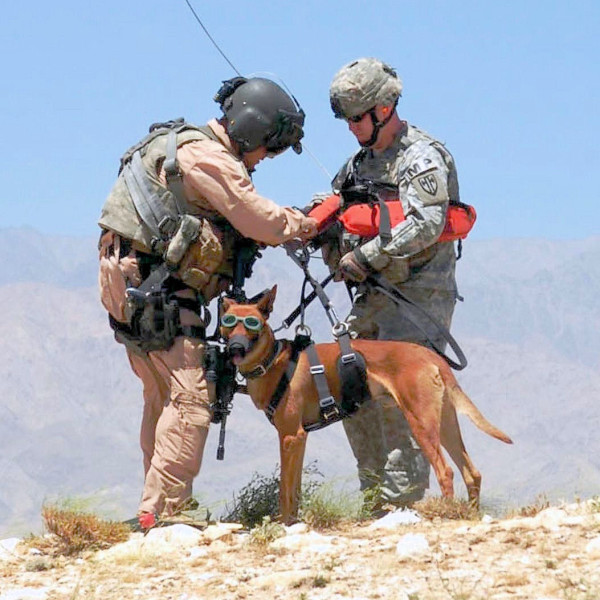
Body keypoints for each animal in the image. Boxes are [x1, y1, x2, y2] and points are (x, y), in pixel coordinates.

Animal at [220, 284, 510, 524]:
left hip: (421, 424)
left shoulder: (290, 436)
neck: (273, 362)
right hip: (445, 424)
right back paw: (471, 514)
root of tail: (431, 356)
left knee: (446, 471)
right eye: (228, 323)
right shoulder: (299, 439)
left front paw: (283, 524)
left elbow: (284, 490)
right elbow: (296, 488)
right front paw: (292, 521)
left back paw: (446, 513)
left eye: (253, 324)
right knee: (472, 473)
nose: (235, 347)